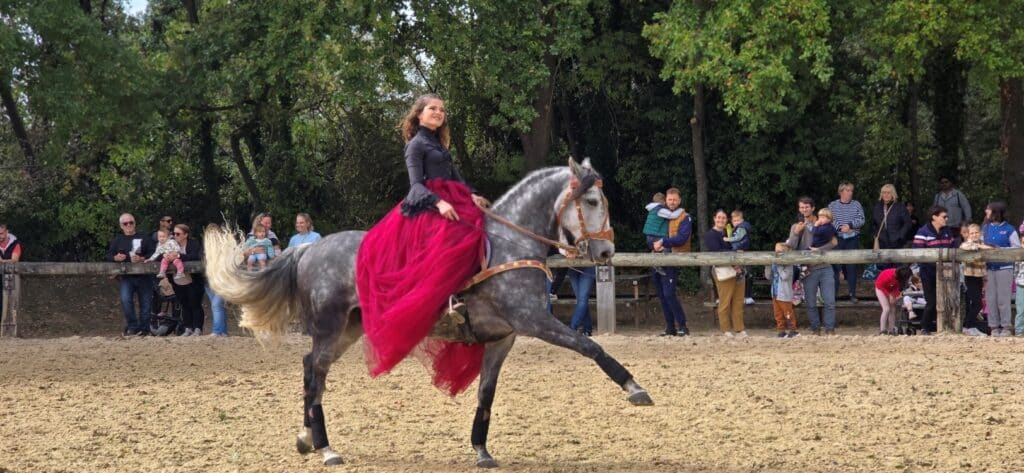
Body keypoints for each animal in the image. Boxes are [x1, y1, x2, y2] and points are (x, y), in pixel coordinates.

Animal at [204, 158, 654, 468]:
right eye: (592, 201)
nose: (606, 253)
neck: (509, 246)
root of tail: (309, 248)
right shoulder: (535, 322)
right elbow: (591, 347)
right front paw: (635, 388)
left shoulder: (503, 338)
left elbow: (486, 393)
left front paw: (481, 450)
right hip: (330, 327)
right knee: (314, 374)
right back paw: (326, 448)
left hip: (347, 330)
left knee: (311, 368)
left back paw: (306, 439)